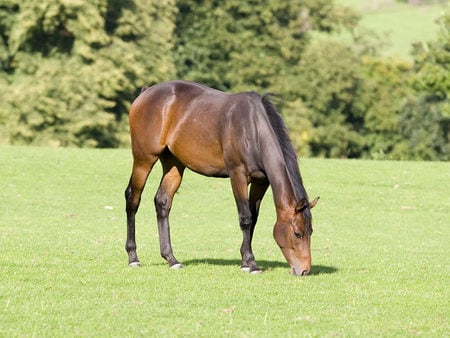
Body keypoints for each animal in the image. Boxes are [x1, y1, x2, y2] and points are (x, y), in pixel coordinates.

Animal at [125, 80, 318, 276]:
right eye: (297, 233)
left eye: (310, 231)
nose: (304, 270)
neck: (252, 128)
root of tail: (145, 93)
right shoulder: (237, 175)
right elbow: (245, 218)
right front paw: (251, 263)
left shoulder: (261, 181)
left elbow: (253, 218)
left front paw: (244, 261)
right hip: (144, 159)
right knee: (133, 199)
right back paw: (133, 257)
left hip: (174, 165)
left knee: (162, 202)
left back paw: (171, 259)